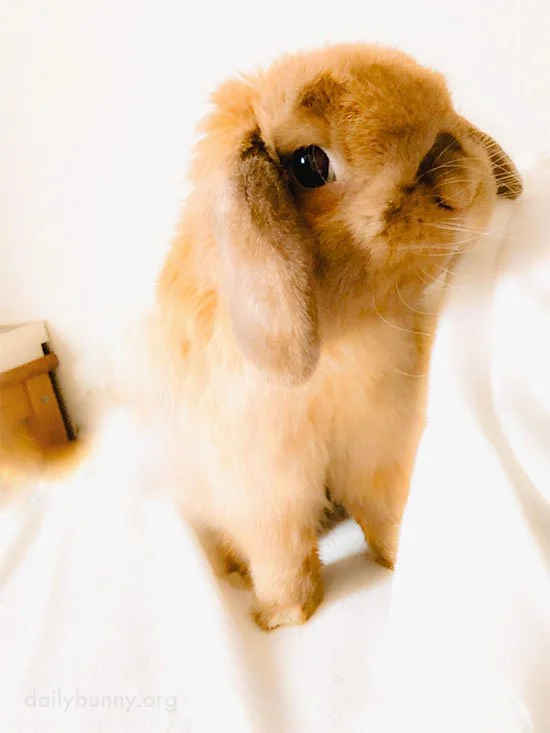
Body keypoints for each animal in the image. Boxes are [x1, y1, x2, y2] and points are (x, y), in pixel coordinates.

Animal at [155, 43, 522, 631]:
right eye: (309, 164)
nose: (465, 185)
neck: (340, 341)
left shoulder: (378, 444)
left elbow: (385, 508)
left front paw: (397, 557)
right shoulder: (265, 488)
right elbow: (281, 552)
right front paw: (285, 616)